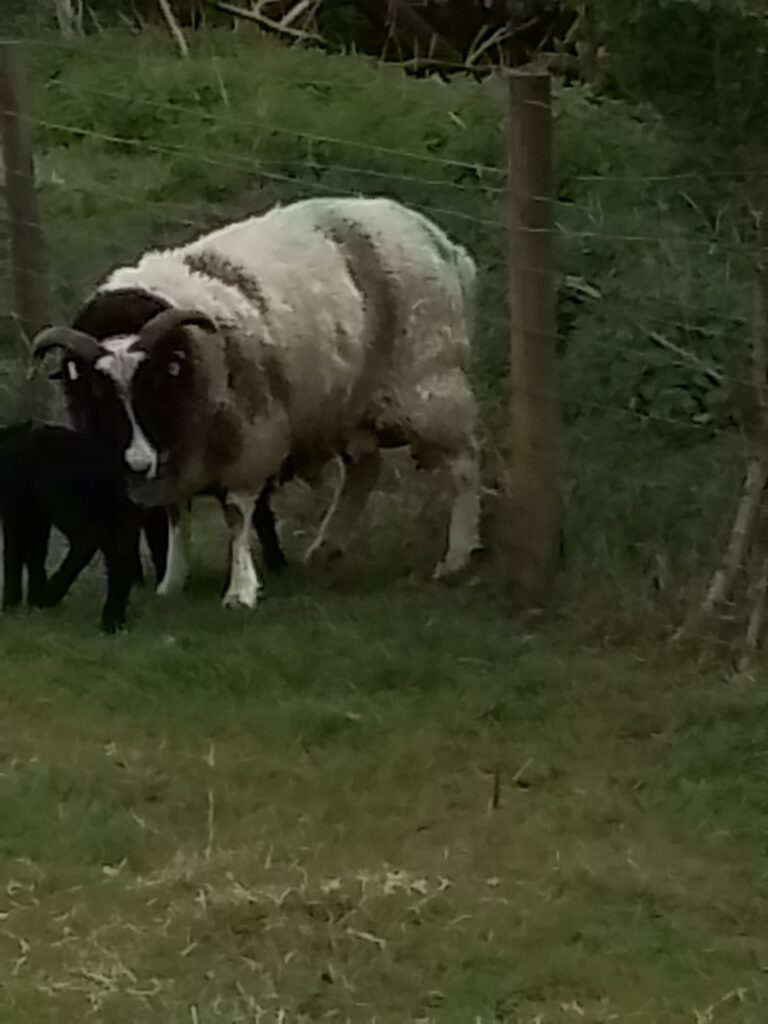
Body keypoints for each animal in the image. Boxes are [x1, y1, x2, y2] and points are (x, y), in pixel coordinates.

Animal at [34, 195, 487, 602]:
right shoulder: (178, 459)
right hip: (346, 404)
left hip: (428, 384)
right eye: (98, 392)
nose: (138, 462)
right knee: (363, 470)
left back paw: (456, 557)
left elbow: (237, 515)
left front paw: (241, 590)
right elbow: (177, 515)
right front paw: (171, 584)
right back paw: (325, 549)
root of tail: (446, 246)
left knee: (464, 464)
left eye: (154, 384)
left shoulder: (248, 441)